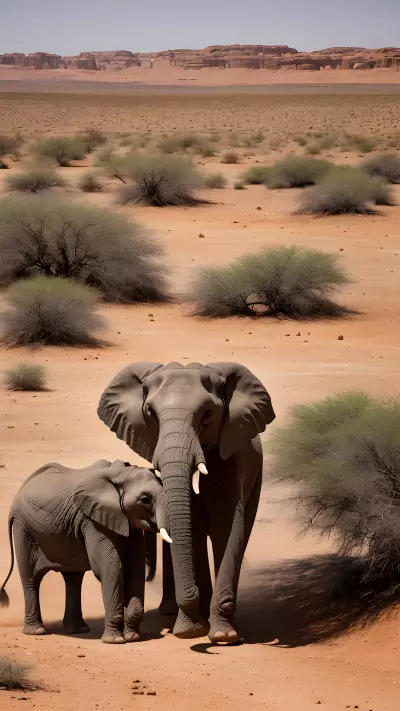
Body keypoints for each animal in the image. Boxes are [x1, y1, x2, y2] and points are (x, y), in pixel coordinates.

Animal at [0, 459, 163, 644]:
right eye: (145, 500)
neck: (122, 473)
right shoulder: (93, 520)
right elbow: (111, 568)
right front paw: (115, 641)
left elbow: (134, 567)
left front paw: (132, 637)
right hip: (24, 528)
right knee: (30, 578)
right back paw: (36, 632)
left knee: (73, 577)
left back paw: (77, 630)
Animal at [97, 361, 275, 643]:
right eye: (151, 413)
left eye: (207, 414)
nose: (188, 630)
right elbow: (190, 528)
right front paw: (193, 628)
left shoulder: (231, 458)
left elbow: (227, 527)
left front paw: (223, 635)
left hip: (257, 473)